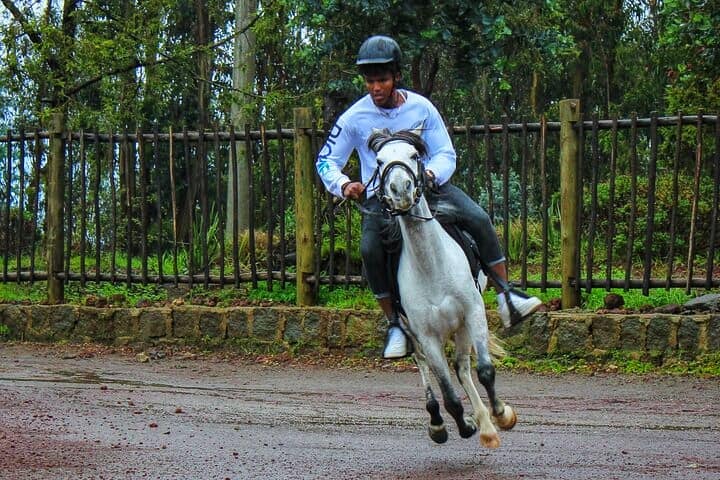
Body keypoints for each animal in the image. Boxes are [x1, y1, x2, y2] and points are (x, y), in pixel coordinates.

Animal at [368, 128, 517, 448]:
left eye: (414, 155)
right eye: (379, 160)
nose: (400, 189)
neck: (432, 266)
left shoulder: (473, 312)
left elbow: (484, 371)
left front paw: (501, 415)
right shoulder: (426, 335)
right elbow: (448, 394)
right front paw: (464, 425)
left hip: (462, 326)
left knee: (462, 367)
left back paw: (487, 423)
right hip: (416, 334)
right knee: (431, 369)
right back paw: (442, 422)